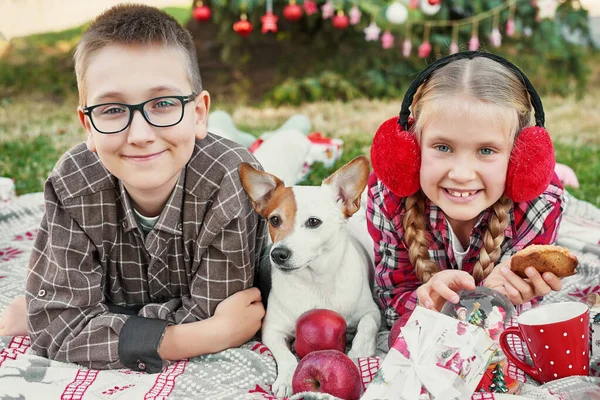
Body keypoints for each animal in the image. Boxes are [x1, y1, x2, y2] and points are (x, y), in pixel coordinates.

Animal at [238, 155, 380, 396]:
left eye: (314, 222)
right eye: (274, 220)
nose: (278, 254)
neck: (316, 283)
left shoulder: (373, 313)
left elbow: (366, 327)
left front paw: (357, 355)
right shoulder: (272, 330)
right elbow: (286, 356)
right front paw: (286, 378)